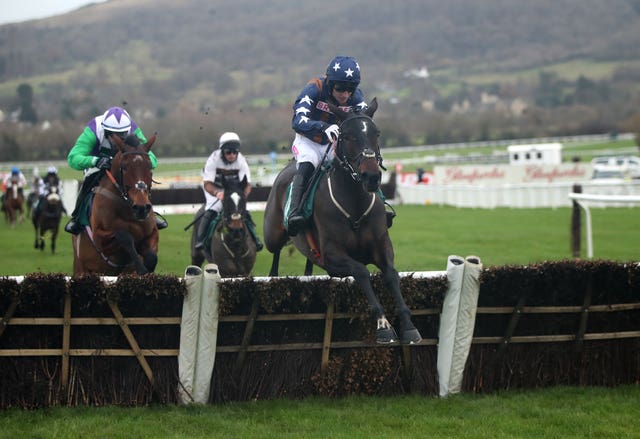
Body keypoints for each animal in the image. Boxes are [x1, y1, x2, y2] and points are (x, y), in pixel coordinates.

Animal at [70, 135, 158, 276]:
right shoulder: (99, 237)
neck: (126, 209)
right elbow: (124, 235)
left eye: (149, 166)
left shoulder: (152, 233)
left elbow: (151, 257)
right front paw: (141, 268)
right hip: (81, 268)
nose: (141, 208)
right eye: (125, 167)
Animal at [262, 99, 422, 348]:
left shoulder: (382, 246)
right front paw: (383, 326)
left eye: (376, 133)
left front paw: (408, 326)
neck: (354, 205)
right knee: (275, 252)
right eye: (346, 136)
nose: (371, 177)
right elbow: (361, 272)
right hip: (273, 235)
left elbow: (391, 274)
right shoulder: (333, 256)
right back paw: (274, 273)